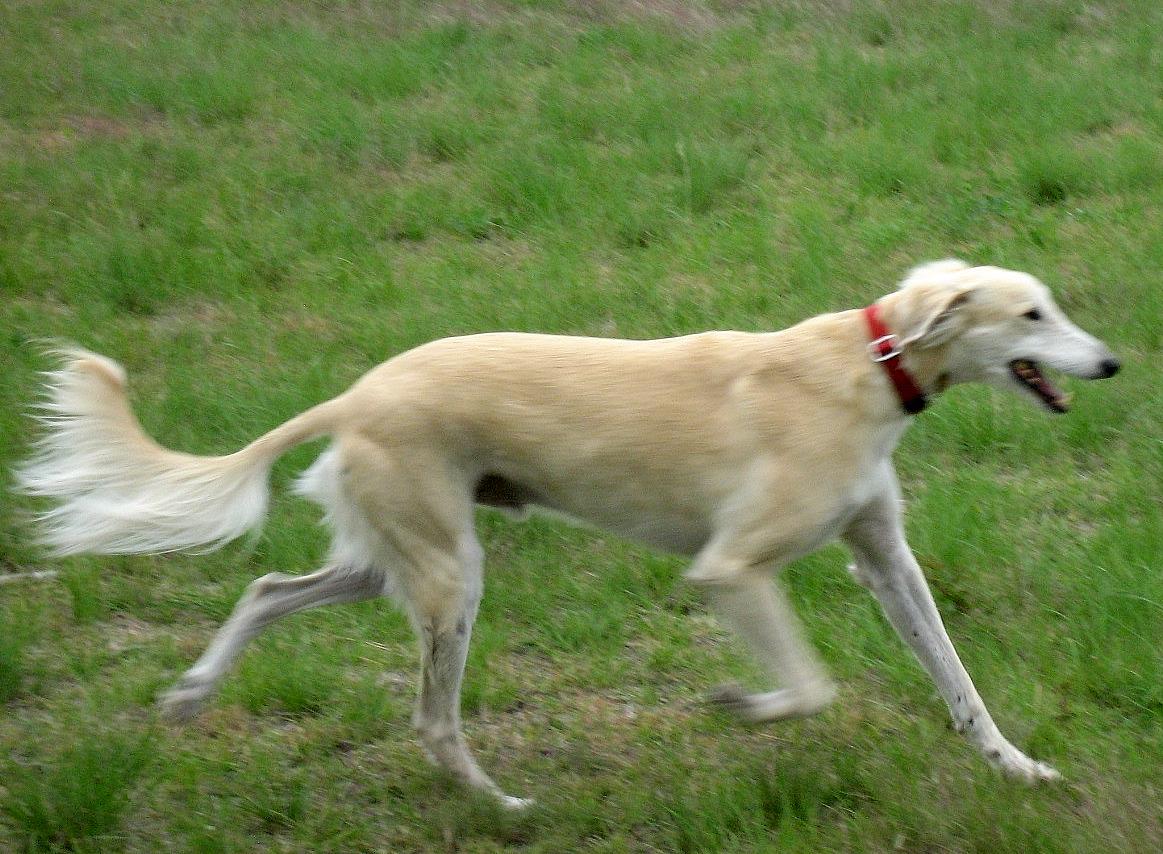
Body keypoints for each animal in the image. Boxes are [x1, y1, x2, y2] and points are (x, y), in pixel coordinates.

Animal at [15, 260, 1116, 809]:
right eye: (1030, 313)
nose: (1107, 363)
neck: (865, 363)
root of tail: (357, 392)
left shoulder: (885, 559)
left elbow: (956, 681)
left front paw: (1015, 768)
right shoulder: (729, 568)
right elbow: (808, 688)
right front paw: (739, 702)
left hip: (392, 563)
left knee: (266, 590)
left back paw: (194, 692)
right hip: (449, 576)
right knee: (429, 718)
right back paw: (499, 808)